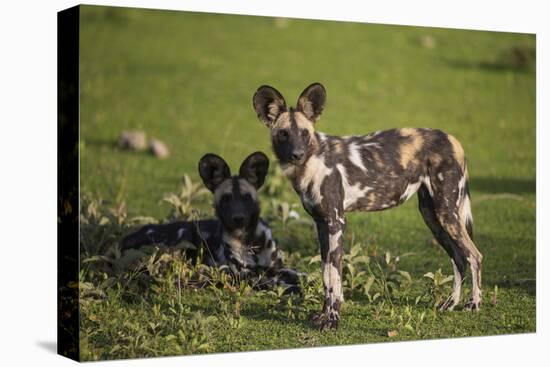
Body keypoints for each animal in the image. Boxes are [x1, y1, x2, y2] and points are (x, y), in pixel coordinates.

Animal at [122, 152, 302, 294]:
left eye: (246, 197)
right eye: (226, 199)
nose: (238, 218)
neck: (249, 239)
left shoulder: (274, 268)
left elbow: (297, 274)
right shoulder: (243, 275)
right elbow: (276, 282)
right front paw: (293, 288)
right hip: (183, 236)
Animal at [253, 82, 484, 330]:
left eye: (305, 133)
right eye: (284, 133)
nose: (298, 154)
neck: (311, 163)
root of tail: (452, 139)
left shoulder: (336, 223)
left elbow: (334, 279)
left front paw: (332, 320)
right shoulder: (322, 226)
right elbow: (326, 275)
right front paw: (323, 316)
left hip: (446, 215)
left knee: (474, 256)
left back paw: (474, 304)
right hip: (433, 218)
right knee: (459, 259)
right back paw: (450, 304)